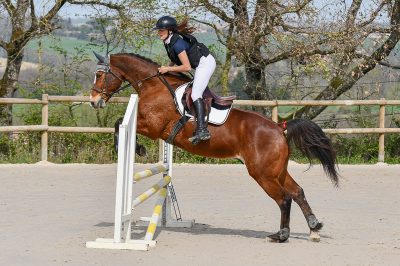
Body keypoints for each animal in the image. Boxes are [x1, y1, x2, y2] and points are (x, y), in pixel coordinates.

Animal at [89, 52, 340, 243]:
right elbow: (118, 123)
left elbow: (119, 123)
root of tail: (279, 127)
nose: (94, 101)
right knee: (297, 192)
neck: (154, 86)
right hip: (276, 170)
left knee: (284, 199)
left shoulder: (152, 127)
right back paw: (314, 228)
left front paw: (134, 148)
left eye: (100, 75)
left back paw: (281, 235)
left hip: (262, 173)